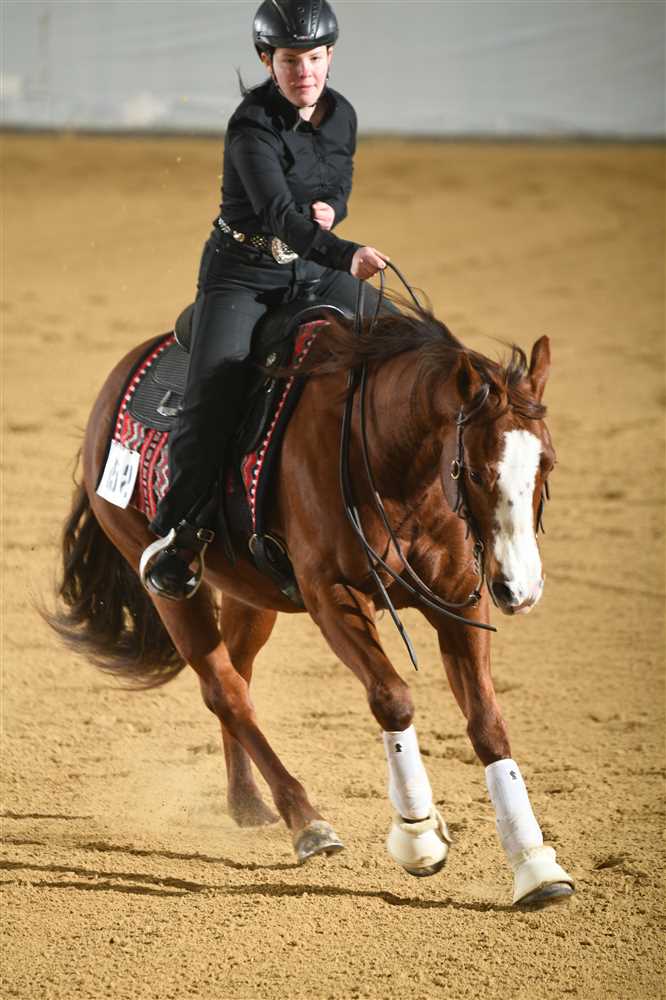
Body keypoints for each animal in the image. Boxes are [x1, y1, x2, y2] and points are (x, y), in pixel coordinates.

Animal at [48, 303, 574, 906]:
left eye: (547, 464)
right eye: (480, 470)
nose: (521, 587)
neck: (389, 457)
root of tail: (120, 379)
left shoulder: (457, 600)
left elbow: (488, 724)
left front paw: (535, 865)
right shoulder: (333, 596)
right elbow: (392, 697)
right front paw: (418, 837)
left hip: (251, 598)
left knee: (238, 677)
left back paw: (248, 803)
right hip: (171, 587)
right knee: (224, 691)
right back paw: (306, 821)